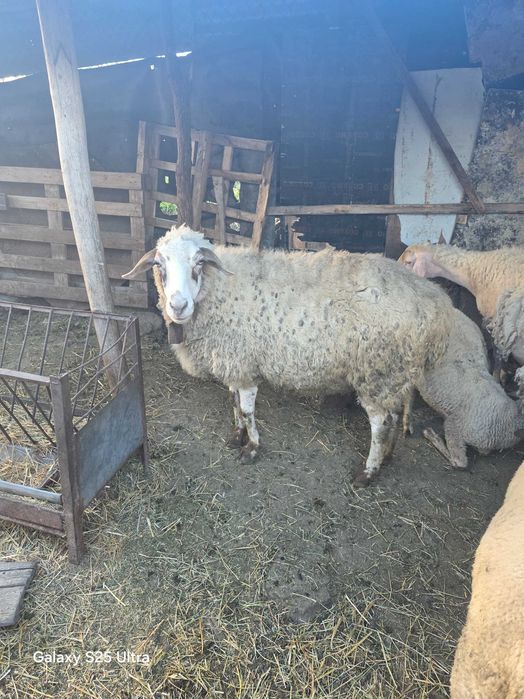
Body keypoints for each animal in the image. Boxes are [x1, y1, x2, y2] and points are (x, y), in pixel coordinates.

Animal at [123, 224, 456, 486]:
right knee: (395, 414)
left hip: (376, 370)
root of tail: (437, 303)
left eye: (198, 263)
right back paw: (387, 457)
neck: (220, 289)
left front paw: (251, 448)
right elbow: (233, 403)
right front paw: (236, 435)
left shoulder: (245, 366)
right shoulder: (235, 361)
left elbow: (247, 410)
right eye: (159, 265)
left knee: (381, 422)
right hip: (394, 373)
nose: (178, 306)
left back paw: (368, 472)